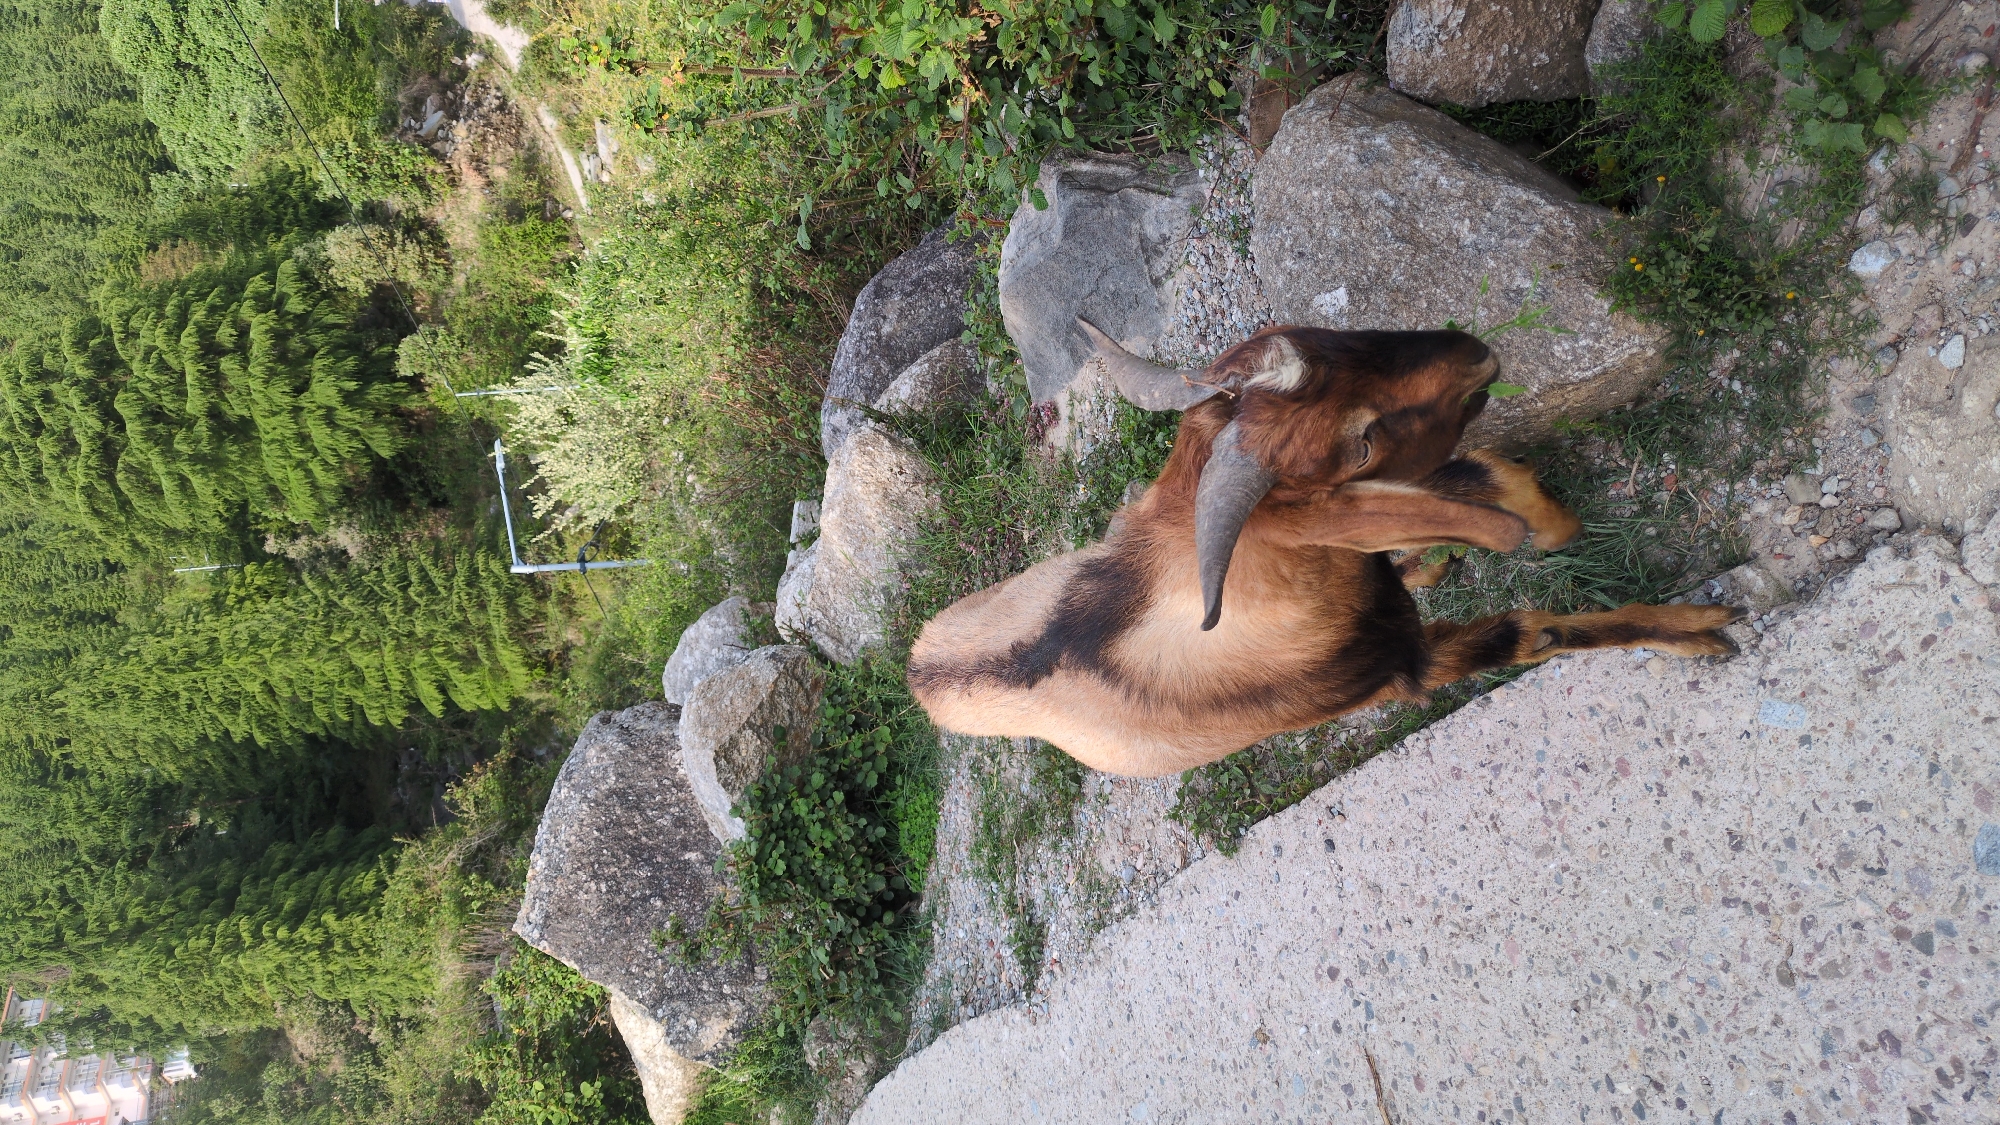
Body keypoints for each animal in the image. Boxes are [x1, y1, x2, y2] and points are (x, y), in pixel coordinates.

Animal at [906, 322, 1742, 778]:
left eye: (1325, 334)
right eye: (1358, 441)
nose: (1477, 356)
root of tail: (917, 668)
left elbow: (1487, 478)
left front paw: (1550, 525)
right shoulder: (1402, 665)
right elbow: (1531, 631)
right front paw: (1699, 630)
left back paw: (1429, 561)